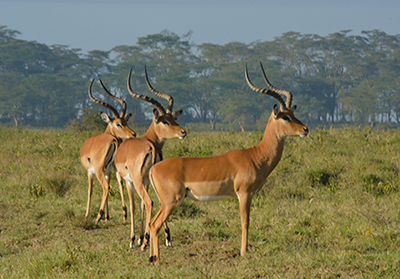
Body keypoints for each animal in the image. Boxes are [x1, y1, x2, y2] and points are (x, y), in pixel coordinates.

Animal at [79, 79, 136, 225]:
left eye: (125, 121)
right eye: (119, 123)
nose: (133, 134)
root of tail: (113, 140)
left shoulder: (91, 171)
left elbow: (90, 191)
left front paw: (87, 215)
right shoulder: (108, 170)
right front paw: (107, 216)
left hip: (99, 170)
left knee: (105, 188)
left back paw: (97, 217)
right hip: (113, 169)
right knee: (117, 185)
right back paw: (123, 214)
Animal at [114, 67, 186, 249]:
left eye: (173, 119)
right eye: (166, 120)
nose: (183, 132)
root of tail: (151, 147)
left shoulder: (130, 181)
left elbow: (134, 205)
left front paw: (134, 239)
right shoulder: (146, 181)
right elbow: (140, 206)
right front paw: (142, 237)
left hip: (139, 181)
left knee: (149, 202)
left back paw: (145, 242)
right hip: (152, 181)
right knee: (159, 202)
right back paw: (164, 238)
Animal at [147, 62, 310, 266]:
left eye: (293, 113)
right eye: (285, 117)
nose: (305, 129)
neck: (255, 156)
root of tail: (153, 169)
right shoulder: (244, 194)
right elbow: (245, 221)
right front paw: (243, 252)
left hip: (166, 203)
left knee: (151, 223)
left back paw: (152, 258)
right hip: (171, 202)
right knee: (155, 225)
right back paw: (156, 260)